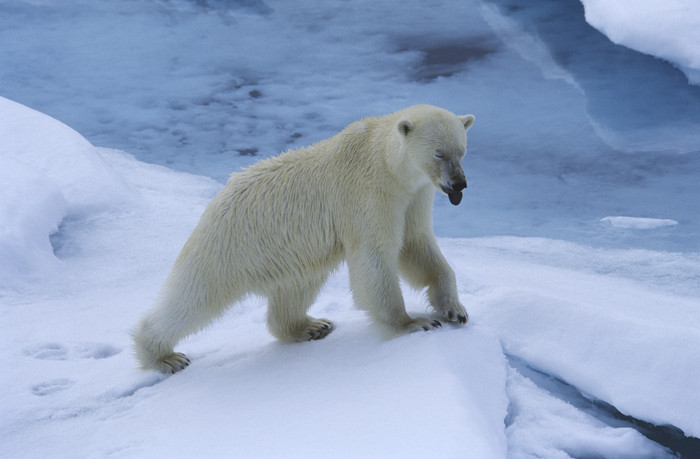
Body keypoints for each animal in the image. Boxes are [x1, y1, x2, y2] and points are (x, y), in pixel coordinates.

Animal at [133, 104, 476, 374]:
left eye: (462, 151)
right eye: (439, 153)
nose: (459, 184)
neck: (385, 162)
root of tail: (217, 198)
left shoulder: (414, 196)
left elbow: (416, 245)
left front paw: (454, 309)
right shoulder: (367, 195)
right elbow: (375, 257)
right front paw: (413, 323)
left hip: (289, 252)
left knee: (296, 288)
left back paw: (311, 326)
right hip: (232, 242)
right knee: (194, 295)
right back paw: (163, 356)